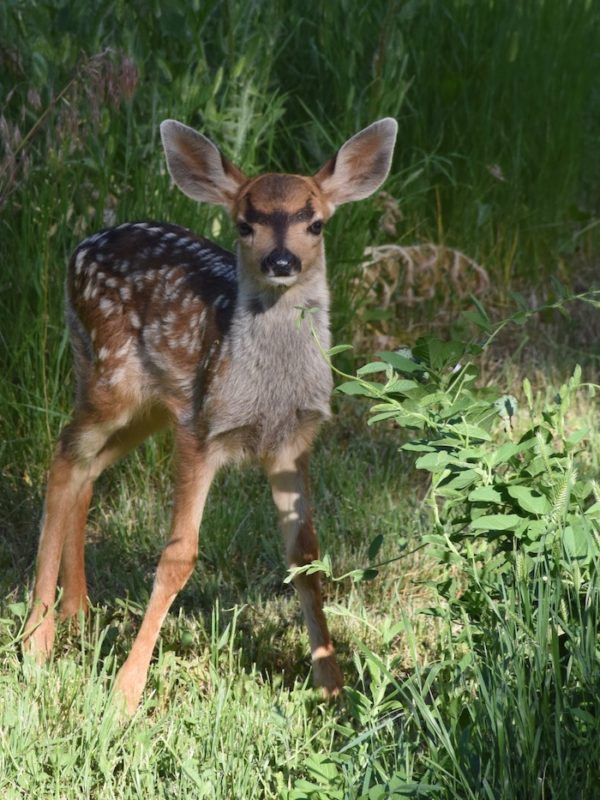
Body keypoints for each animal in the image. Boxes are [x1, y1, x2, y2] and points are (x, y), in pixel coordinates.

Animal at [23, 115, 398, 716]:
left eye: (315, 223)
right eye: (245, 224)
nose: (281, 262)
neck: (269, 387)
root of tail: (81, 244)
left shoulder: (292, 440)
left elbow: (306, 555)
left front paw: (333, 688)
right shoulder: (203, 429)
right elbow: (178, 557)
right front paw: (125, 695)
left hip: (153, 406)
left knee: (87, 467)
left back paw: (77, 614)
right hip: (111, 378)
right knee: (64, 456)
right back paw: (37, 641)